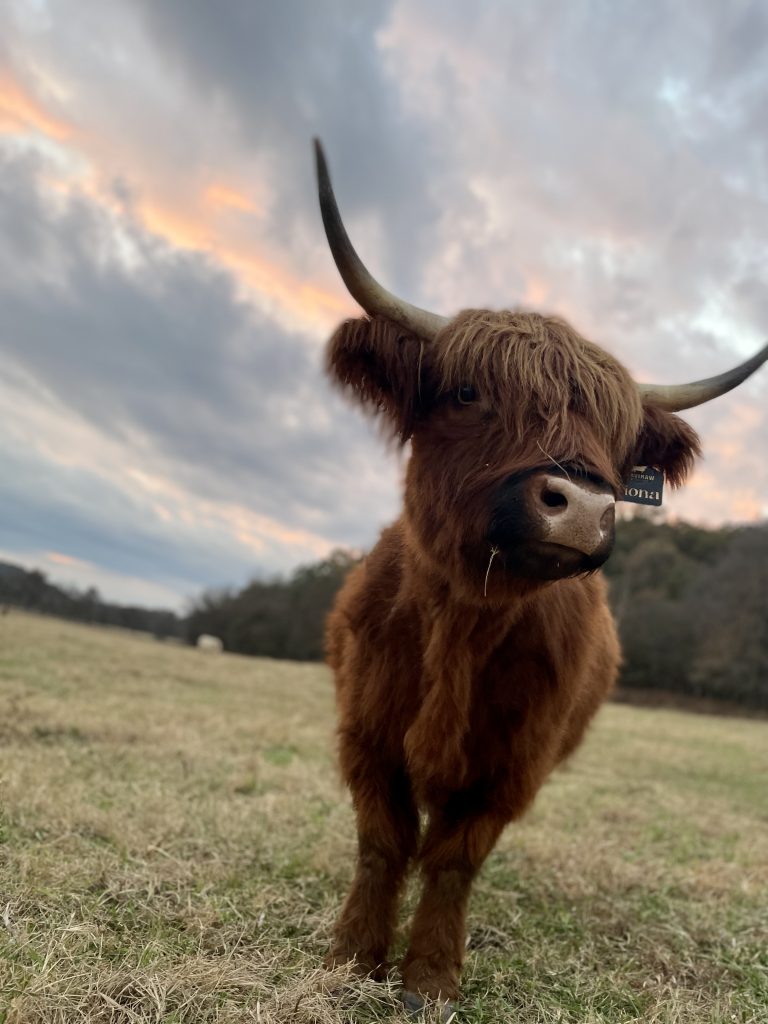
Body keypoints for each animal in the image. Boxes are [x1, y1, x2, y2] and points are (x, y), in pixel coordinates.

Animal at [313, 140, 768, 1015]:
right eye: (467, 392)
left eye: (621, 443)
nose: (583, 505)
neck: (462, 621)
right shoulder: (366, 732)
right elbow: (383, 841)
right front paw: (351, 957)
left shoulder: (513, 765)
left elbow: (454, 858)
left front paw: (430, 977)